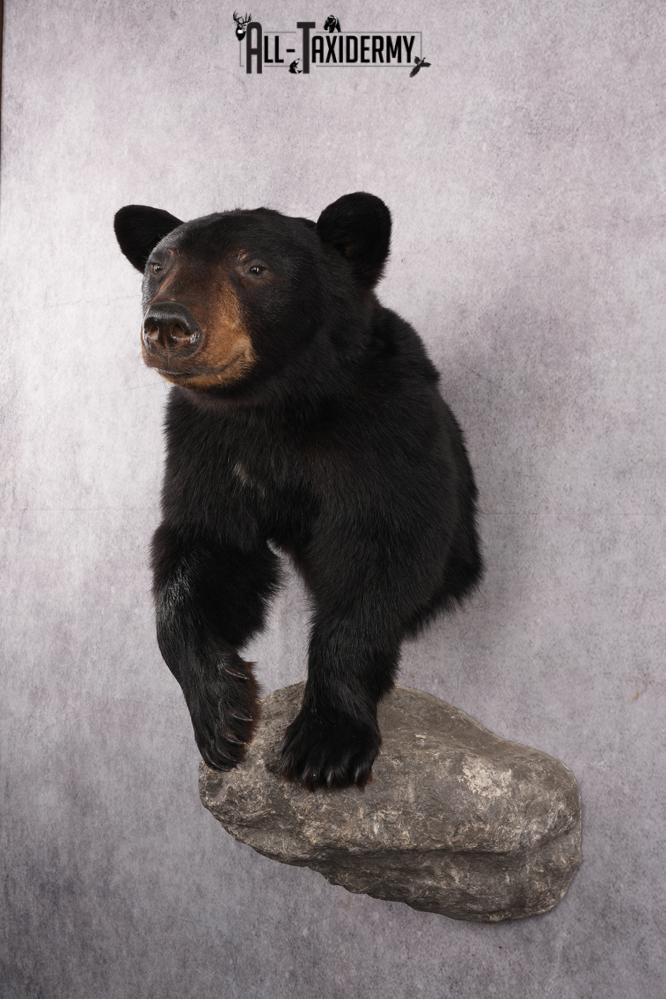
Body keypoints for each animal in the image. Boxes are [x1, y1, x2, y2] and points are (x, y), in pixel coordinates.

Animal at [114, 192, 483, 789]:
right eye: (158, 265)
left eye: (255, 268)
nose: (168, 325)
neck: (277, 404)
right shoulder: (207, 446)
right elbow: (206, 549)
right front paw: (222, 712)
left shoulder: (385, 429)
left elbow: (383, 555)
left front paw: (326, 743)